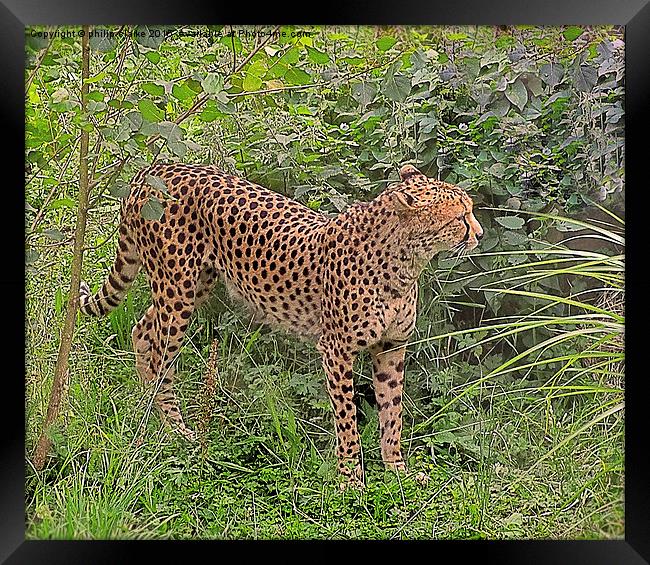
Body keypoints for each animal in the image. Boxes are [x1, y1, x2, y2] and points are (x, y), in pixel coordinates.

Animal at [79, 162, 480, 484]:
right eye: (460, 216)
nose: (477, 233)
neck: (404, 259)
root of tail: (156, 169)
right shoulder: (336, 350)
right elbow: (348, 418)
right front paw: (350, 479)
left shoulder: (391, 346)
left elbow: (392, 411)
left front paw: (396, 469)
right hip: (176, 293)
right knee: (161, 356)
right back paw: (173, 428)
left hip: (192, 286)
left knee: (142, 330)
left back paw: (148, 409)